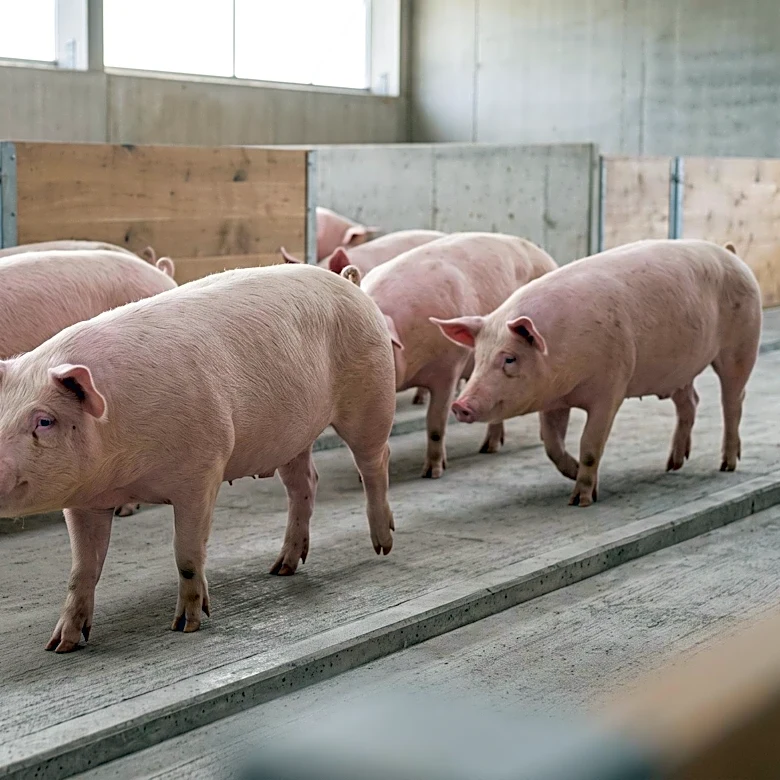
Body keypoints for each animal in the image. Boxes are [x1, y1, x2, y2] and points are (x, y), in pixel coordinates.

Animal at [435, 239, 762, 507]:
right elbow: (551, 444)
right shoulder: (553, 398)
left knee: (733, 401)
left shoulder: (611, 388)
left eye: (510, 359)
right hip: (679, 370)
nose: (460, 405)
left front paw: (580, 500)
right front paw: (573, 472)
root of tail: (732, 254)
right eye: (478, 358)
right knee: (690, 402)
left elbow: (590, 444)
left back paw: (727, 465)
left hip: (742, 346)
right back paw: (673, 464)